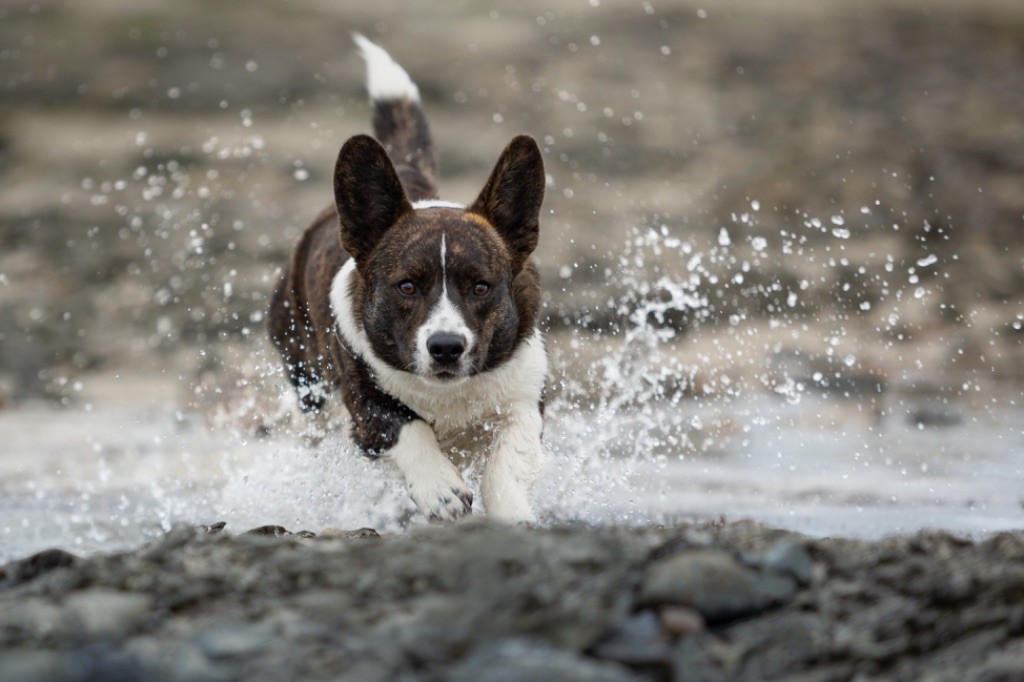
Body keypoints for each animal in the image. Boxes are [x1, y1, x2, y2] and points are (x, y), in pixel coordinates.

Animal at [268, 35, 548, 520]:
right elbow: (407, 428)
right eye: (407, 286)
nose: (446, 348)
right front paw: (441, 489)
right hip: (305, 374)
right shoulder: (366, 406)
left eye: (481, 287)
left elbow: (508, 459)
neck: (447, 395)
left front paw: (512, 512)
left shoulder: (527, 400)